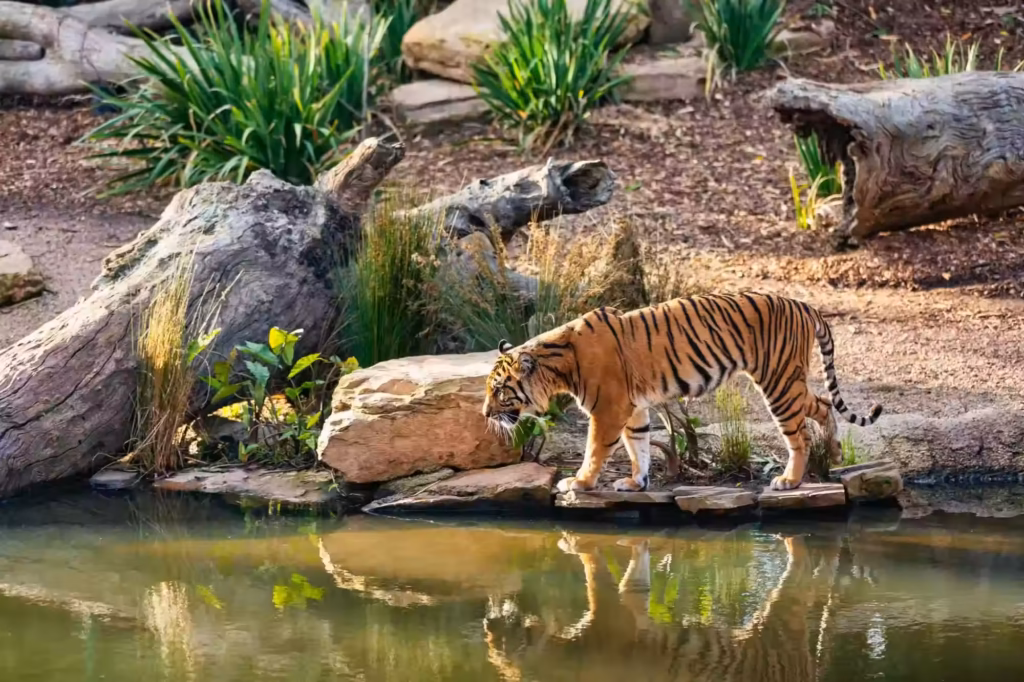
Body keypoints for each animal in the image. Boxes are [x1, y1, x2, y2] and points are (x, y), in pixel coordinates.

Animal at [481, 292, 882, 493]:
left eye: (500, 391)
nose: (485, 414)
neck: (559, 363)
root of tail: (802, 303)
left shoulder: (608, 409)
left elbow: (595, 450)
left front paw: (579, 482)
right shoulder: (633, 409)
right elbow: (638, 447)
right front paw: (636, 482)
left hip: (778, 382)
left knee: (798, 435)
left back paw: (790, 479)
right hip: (791, 381)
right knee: (824, 404)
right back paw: (834, 452)